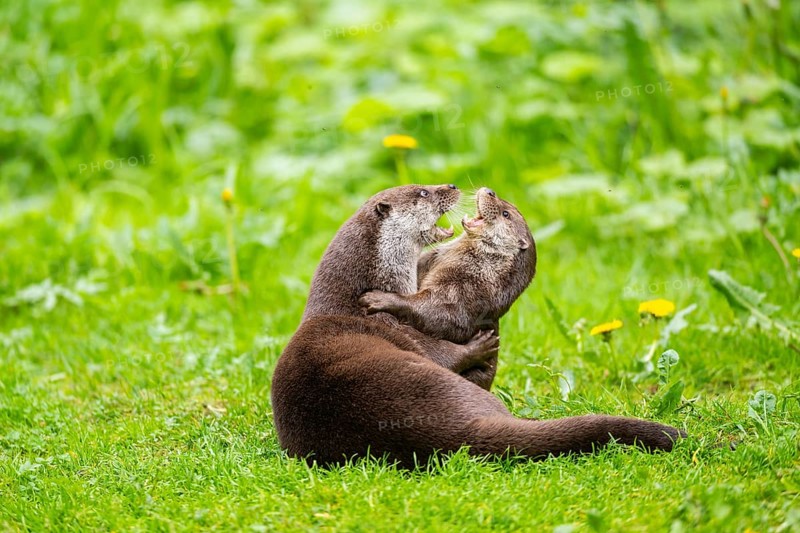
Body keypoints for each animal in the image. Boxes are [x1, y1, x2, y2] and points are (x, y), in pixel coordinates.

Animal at [359, 187, 536, 390]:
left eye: (506, 214)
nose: (490, 191)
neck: (484, 269)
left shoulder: (467, 290)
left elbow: (440, 315)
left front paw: (380, 298)